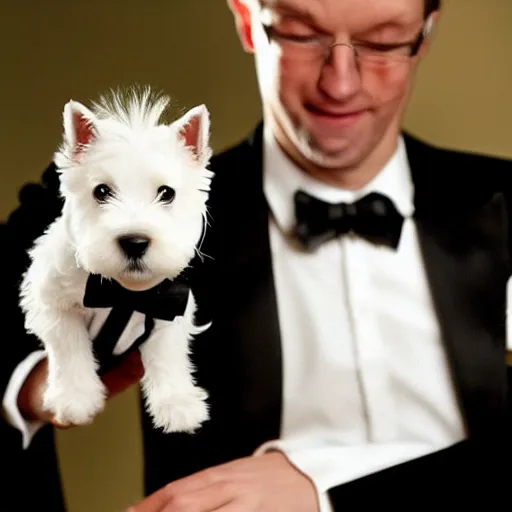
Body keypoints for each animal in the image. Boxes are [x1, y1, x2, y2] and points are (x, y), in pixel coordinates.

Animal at [19, 87, 213, 432]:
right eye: (101, 191)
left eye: (167, 193)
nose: (135, 242)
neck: (124, 293)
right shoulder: (51, 300)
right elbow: (69, 346)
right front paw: (75, 400)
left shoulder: (170, 308)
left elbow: (168, 357)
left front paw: (177, 404)